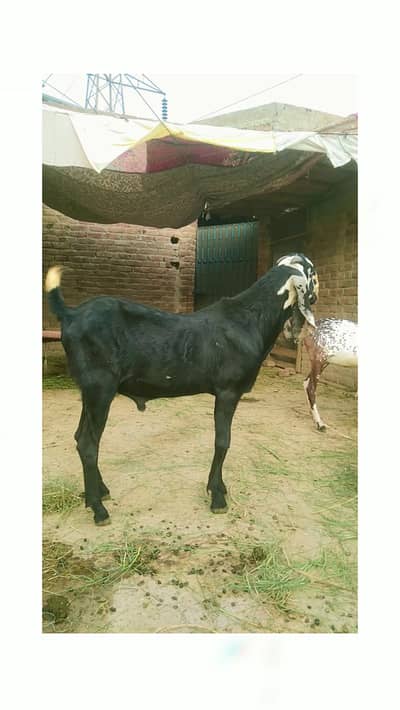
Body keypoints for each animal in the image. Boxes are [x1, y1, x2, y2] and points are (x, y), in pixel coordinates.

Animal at [45, 253, 319, 525]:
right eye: (313, 273)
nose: (317, 295)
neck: (250, 318)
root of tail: (70, 315)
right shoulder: (227, 391)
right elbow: (222, 441)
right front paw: (217, 496)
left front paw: (219, 488)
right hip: (100, 387)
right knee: (88, 444)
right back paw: (99, 509)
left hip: (88, 390)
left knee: (79, 436)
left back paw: (99, 492)